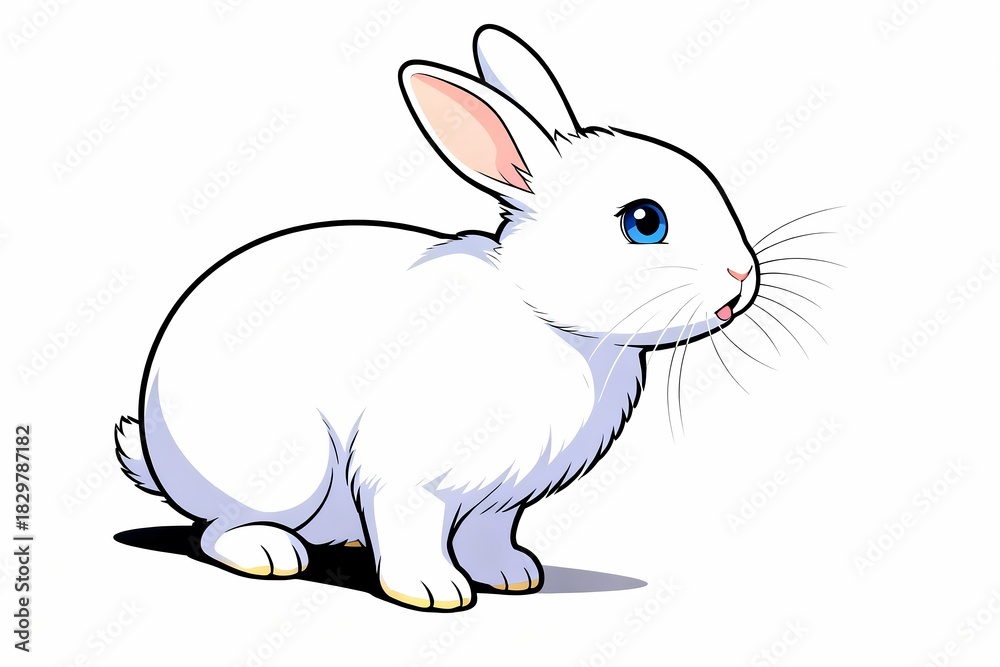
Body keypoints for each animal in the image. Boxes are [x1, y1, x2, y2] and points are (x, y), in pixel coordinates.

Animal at [116, 24, 759, 611]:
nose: (744, 275)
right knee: (219, 527)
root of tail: (157, 455)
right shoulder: (405, 474)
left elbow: (487, 534)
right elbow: (411, 529)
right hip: (289, 471)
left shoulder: (501, 496)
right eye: (644, 222)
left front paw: (512, 576)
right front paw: (434, 592)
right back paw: (271, 554)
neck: (542, 318)